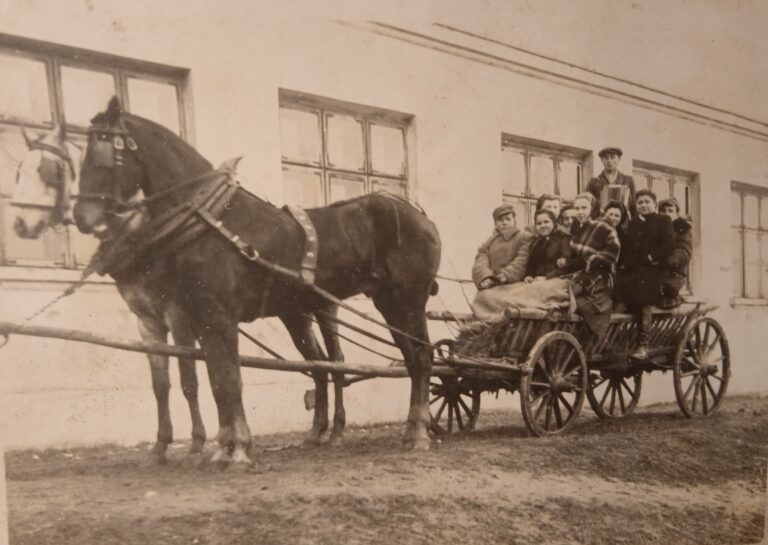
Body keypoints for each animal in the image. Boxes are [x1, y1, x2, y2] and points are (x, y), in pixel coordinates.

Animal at [73, 97, 441, 464]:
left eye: (102, 151)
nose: (81, 217)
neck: (213, 222)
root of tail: (422, 218)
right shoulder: (201, 318)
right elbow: (216, 380)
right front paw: (223, 447)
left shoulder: (218, 316)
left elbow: (229, 380)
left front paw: (237, 448)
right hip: (379, 303)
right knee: (402, 360)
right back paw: (403, 430)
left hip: (407, 300)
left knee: (422, 357)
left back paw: (421, 432)